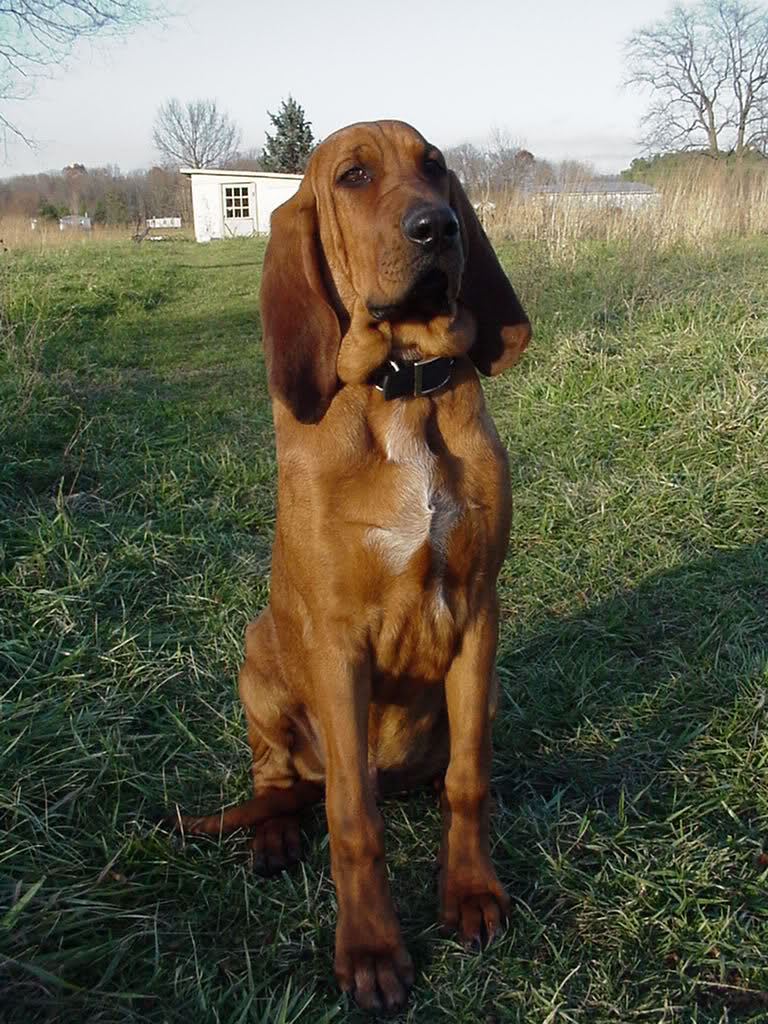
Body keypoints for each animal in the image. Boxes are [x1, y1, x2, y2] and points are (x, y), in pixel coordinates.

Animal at [174, 117, 532, 1007]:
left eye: (435, 168)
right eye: (355, 177)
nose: (438, 227)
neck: (400, 390)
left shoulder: (478, 610)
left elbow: (469, 780)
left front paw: (470, 893)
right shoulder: (337, 645)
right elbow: (352, 821)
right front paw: (371, 949)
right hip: (258, 655)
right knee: (280, 783)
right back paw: (273, 835)